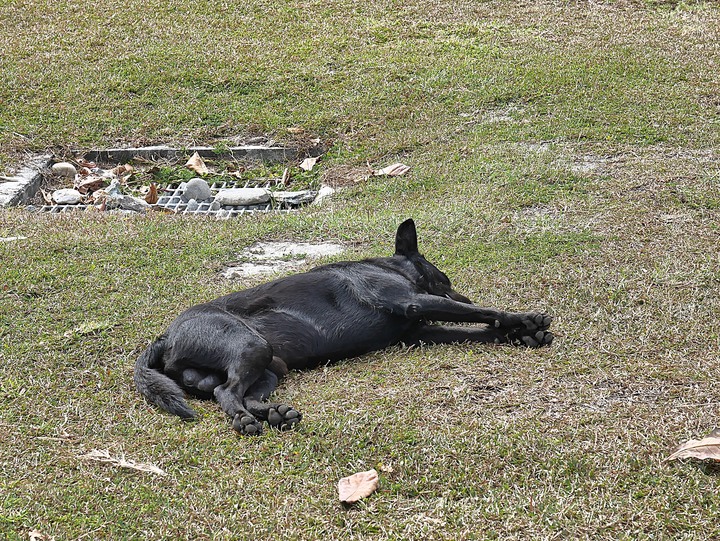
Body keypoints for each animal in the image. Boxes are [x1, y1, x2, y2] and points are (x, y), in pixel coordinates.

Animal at [134, 217, 552, 432]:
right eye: (444, 280)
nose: (460, 295)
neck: (390, 266)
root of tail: (164, 337)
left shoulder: (423, 331)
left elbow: (474, 327)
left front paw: (518, 333)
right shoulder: (414, 303)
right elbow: (481, 312)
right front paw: (523, 319)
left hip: (271, 366)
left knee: (245, 393)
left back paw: (275, 414)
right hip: (252, 347)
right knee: (227, 393)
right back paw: (244, 420)